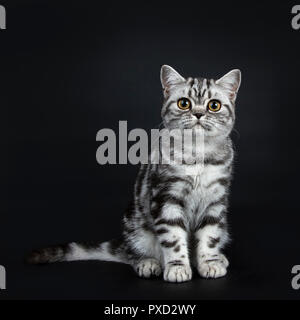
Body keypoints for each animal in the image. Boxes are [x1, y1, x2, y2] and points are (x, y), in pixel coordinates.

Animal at [28, 65, 241, 282]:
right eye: (184, 103)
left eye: (214, 105)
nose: (198, 114)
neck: (198, 154)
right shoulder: (166, 198)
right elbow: (173, 238)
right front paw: (177, 267)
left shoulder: (215, 202)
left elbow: (209, 237)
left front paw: (210, 262)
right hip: (135, 224)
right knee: (133, 253)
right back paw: (147, 263)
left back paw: (217, 258)